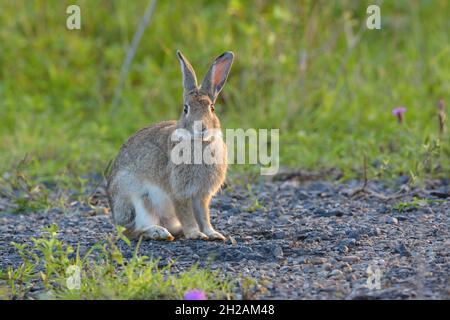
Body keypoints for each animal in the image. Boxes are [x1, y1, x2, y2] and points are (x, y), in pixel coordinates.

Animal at [106, 49, 236, 240]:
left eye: (212, 108)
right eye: (185, 108)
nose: (201, 127)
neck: (199, 143)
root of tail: (116, 218)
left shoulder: (201, 195)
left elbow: (203, 216)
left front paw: (213, 233)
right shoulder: (179, 193)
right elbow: (187, 215)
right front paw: (195, 234)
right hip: (136, 198)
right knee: (132, 231)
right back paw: (158, 232)